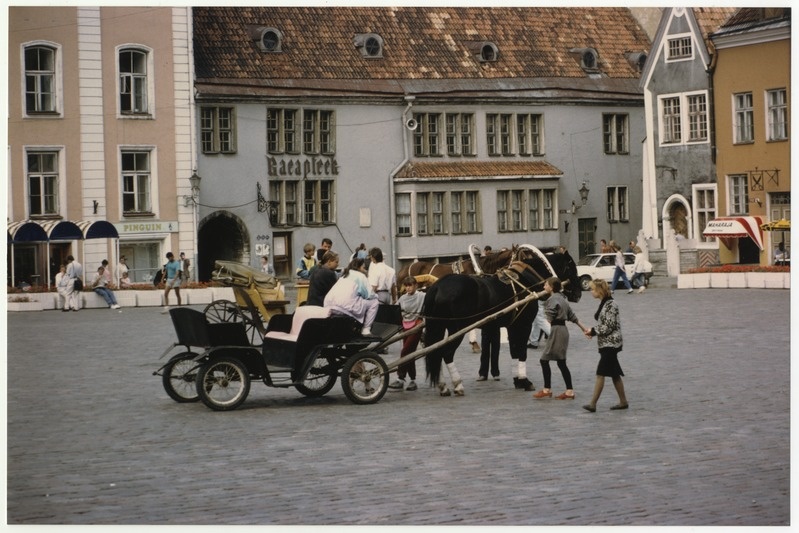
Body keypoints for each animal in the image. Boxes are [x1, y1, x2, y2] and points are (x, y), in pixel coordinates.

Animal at [424, 245, 580, 394]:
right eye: (571, 267)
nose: (578, 293)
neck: (524, 281)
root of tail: (437, 286)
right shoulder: (524, 325)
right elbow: (522, 352)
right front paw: (524, 381)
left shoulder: (512, 326)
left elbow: (514, 352)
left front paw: (517, 380)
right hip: (457, 329)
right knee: (446, 354)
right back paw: (457, 385)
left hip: (439, 327)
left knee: (435, 353)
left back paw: (443, 386)